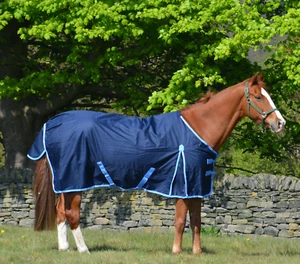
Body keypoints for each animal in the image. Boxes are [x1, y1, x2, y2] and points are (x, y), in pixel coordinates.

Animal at [27, 72, 284, 254]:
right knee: (72, 214)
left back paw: (64, 248)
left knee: (60, 211)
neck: (199, 128)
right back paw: (83, 249)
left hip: (66, 182)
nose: (280, 123)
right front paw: (176, 252)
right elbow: (181, 220)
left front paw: (197, 252)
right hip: (76, 180)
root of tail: (53, 122)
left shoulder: (196, 186)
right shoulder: (183, 183)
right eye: (259, 97)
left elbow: (197, 220)